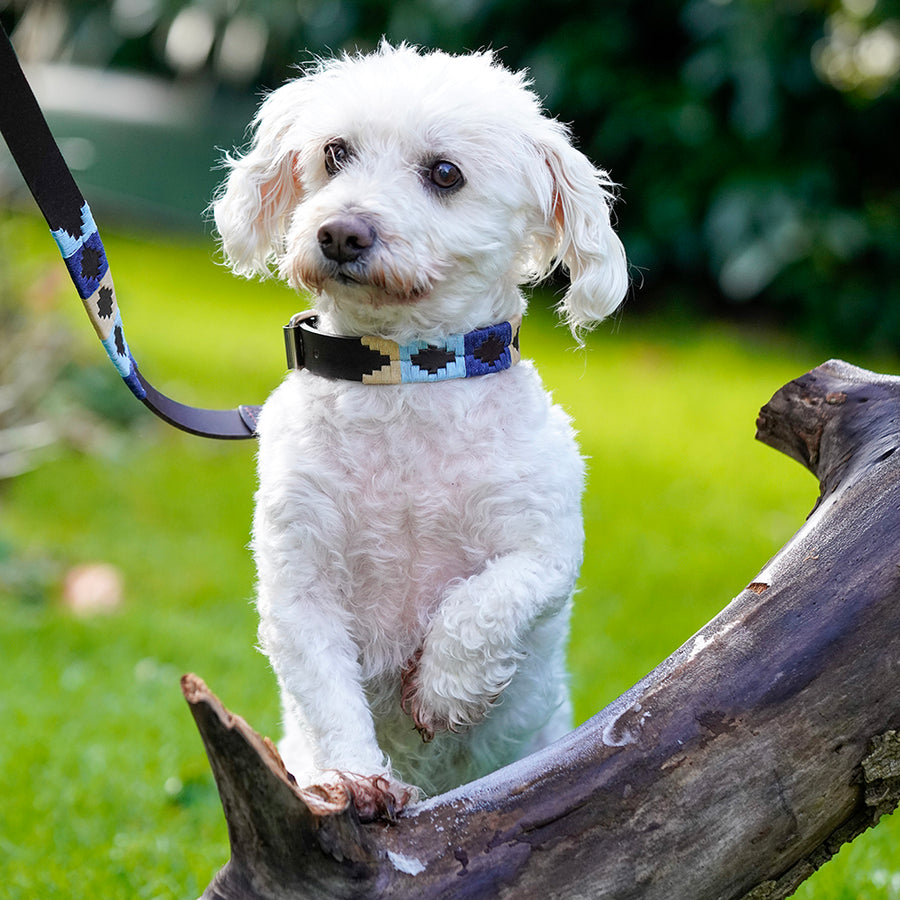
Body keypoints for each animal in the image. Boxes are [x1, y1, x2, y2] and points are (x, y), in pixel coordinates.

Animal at [214, 44, 628, 824]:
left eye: (444, 173)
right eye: (334, 153)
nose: (341, 232)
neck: (403, 378)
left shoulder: (546, 553)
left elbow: (484, 603)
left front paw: (442, 689)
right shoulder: (298, 586)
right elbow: (328, 693)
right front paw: (355, 778)